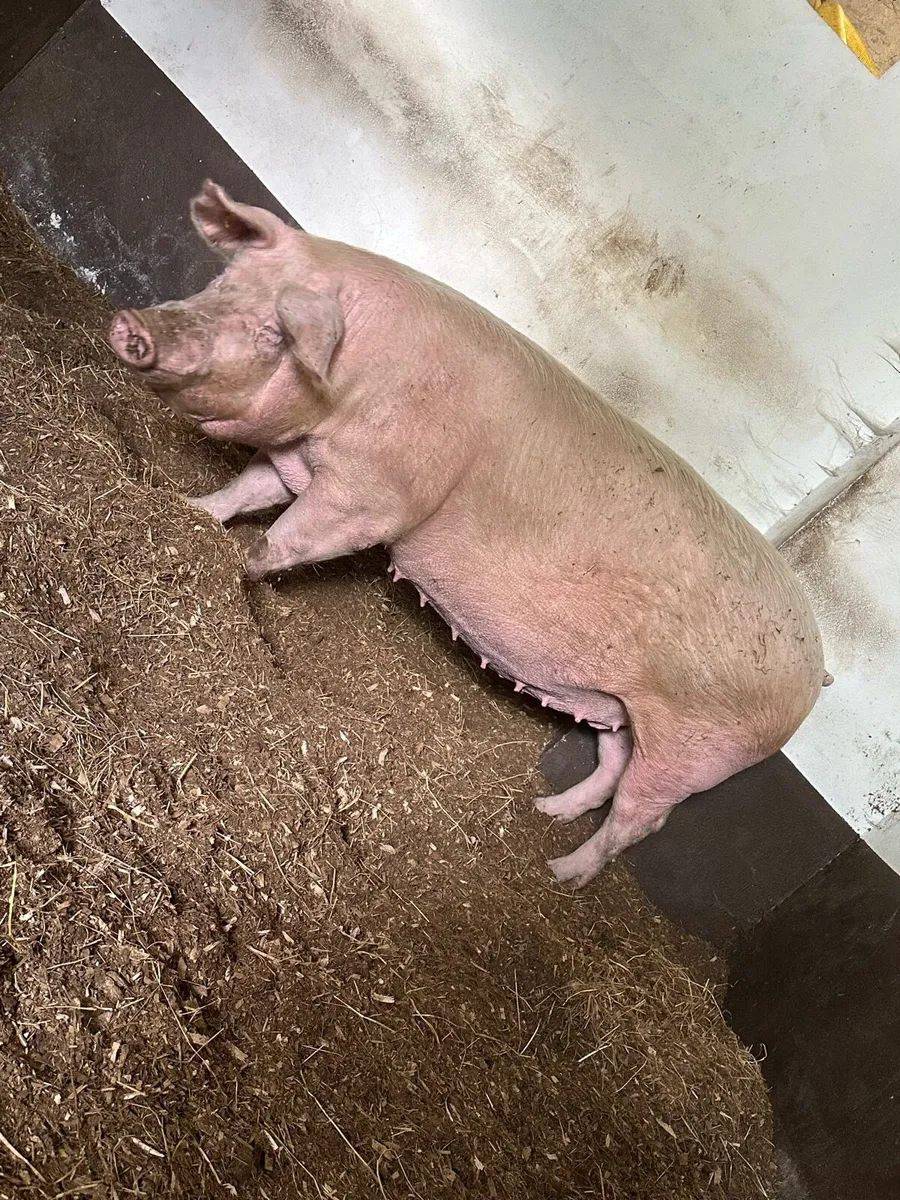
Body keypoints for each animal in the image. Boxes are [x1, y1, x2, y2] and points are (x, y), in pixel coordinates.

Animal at [108, 180, 828, 889]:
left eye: (272, 333)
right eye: (221, 282)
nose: (131, 326)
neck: (359, 377)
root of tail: (811, 680)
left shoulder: (374, 494)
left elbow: (290, 538)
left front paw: (237, 566)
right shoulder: (304, 458)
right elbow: (248, 489)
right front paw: (191, 509)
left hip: (693, 746)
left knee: (641, 816)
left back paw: (559, 872)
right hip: (624, 707)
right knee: (610, 761)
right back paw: (546, 809)